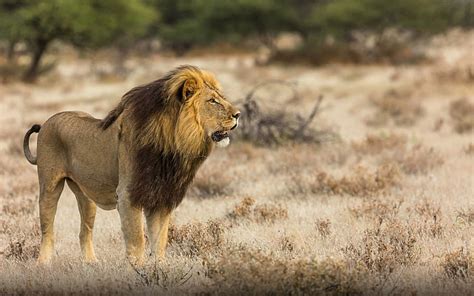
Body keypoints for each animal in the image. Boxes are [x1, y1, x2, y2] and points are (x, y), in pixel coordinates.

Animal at [22, 65, 241, 264]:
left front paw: (160, 270)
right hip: (49, 187)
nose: (238, 114)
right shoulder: (128, 196)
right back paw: (44, 264)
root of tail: (48, 121)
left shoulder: (161, 198)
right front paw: (136, 270)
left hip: (86, 196)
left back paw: (91, 263)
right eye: (212, 101)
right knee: (47, 230)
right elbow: (138, 241)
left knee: (85, 231)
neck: (172, 146)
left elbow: (159, 241)